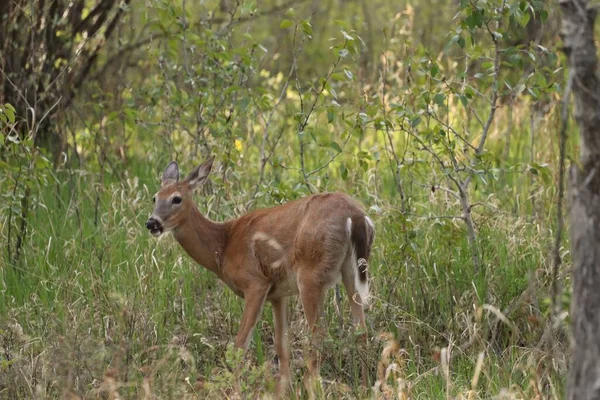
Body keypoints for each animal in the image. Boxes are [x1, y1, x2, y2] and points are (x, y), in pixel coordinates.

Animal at [144, 157, 376, 394]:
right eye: (155, 197)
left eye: (176, 199)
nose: (152, 223)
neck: (223, 245)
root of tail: (355, 216)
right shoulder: (278, 293)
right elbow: (281, 344)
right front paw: (284, 389)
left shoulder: (255, 282)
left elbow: (240, 344)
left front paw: (236, 392)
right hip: (351, 271)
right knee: (362, 330)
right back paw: (365, 387)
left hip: (311, 274)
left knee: (320, 334)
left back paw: (312, 388)